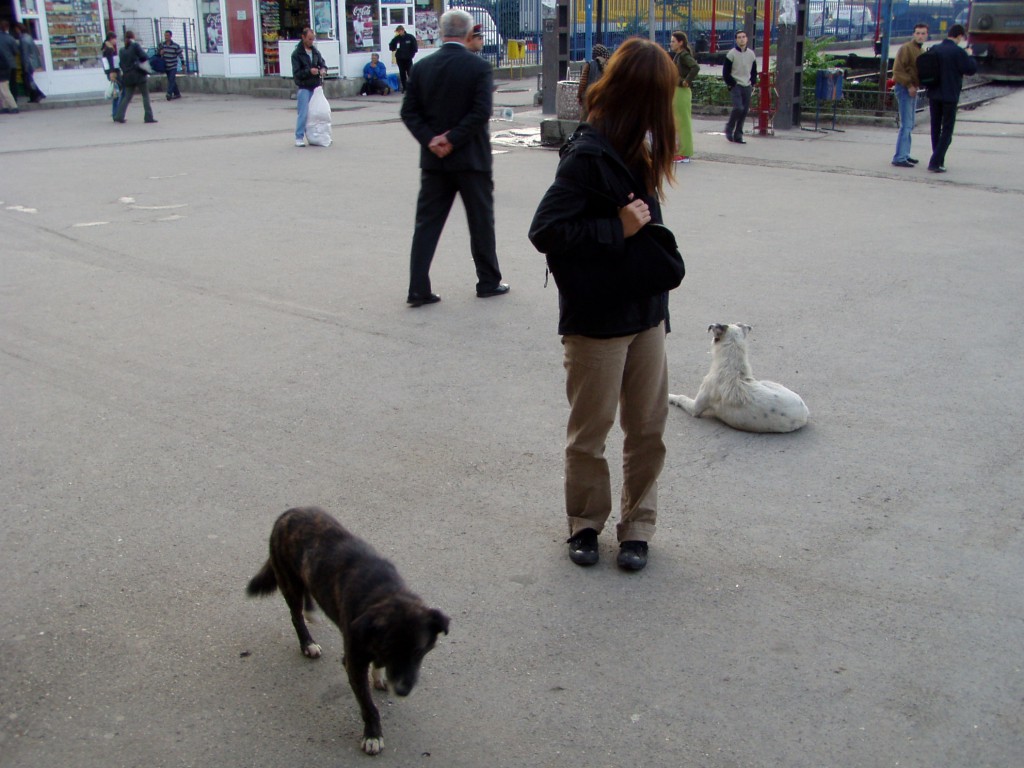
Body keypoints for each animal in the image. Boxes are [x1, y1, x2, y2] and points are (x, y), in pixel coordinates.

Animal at [246, 507, 448, 753]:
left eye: (418, 651)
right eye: (390, 651)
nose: (402, 690)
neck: (385, 592)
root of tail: (288, 513)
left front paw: (379, 676)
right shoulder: (354, 663)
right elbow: (368, 706)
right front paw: (373, 735)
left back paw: (311, 610)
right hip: (288, 582)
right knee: (296, 616)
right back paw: (307, 642)